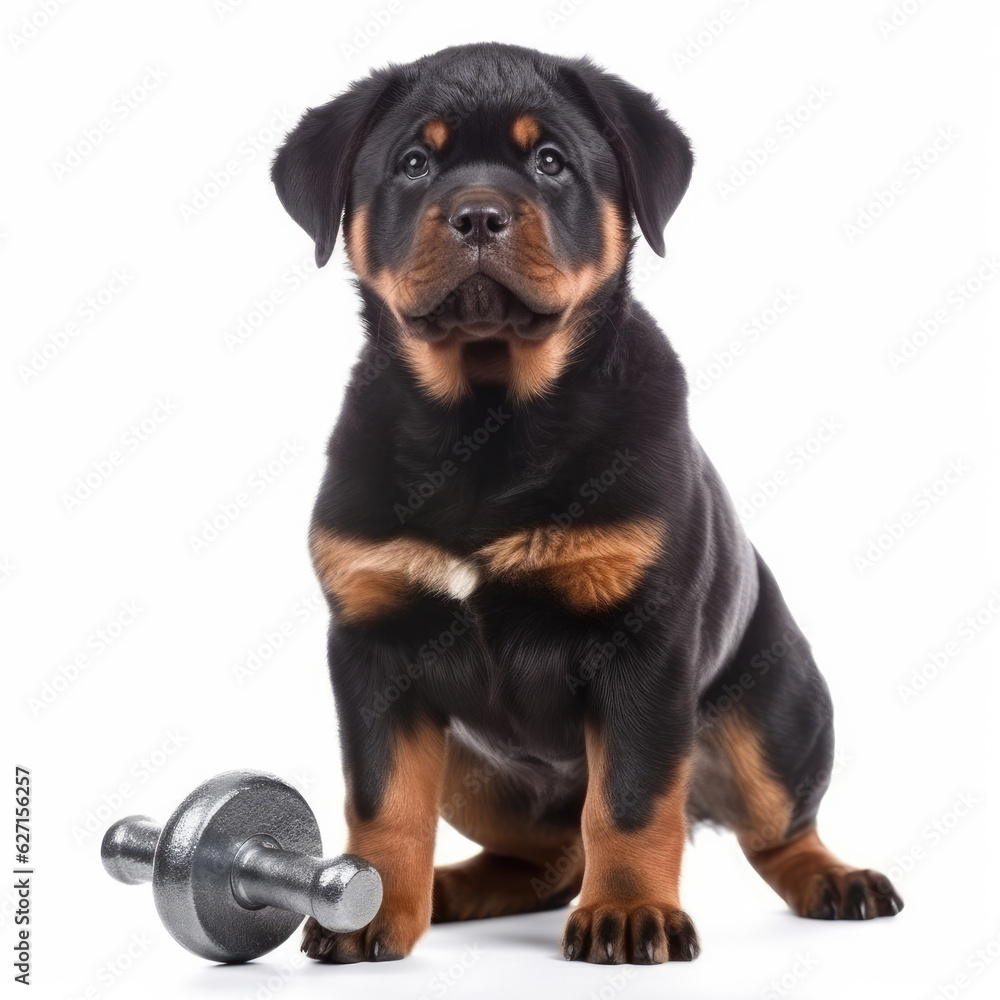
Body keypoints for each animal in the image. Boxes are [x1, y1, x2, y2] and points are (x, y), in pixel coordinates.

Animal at [270, 43, 904, 964]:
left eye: (550, 162)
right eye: (414, 163)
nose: (478, 216)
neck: (487, 420)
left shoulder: (641, 647)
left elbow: (632, 802)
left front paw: (631, 912)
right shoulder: (374, 645)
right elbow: (383, 801)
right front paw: (369, 907)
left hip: (778, 714)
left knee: (772, 827)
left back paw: (836, 879)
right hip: (474, 770)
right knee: (545, 853)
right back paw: (446, 889)